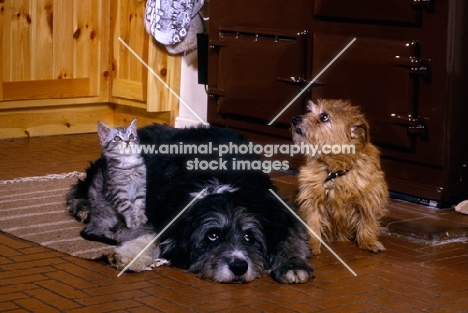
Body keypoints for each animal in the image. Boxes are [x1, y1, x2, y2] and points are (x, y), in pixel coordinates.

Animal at [67, 123, 312, 282]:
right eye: (212, 235)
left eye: (249, 236)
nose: (239, 267)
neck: (221, 182)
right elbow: (151, 235)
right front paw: (130, 256)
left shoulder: (280, 210)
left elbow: (291, 237)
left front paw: (293, 265)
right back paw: (83, 206)